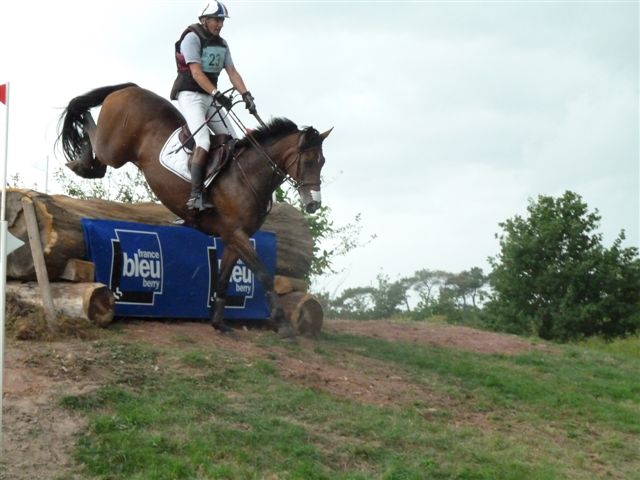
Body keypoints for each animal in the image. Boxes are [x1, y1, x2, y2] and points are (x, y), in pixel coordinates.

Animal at [57, 82, 332, 338]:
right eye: (309, 161)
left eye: (323, 163)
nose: (313, 204)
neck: (249, 175)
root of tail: (131, 88)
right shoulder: (237, 234)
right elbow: (264, 274)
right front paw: (283, 324)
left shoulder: (233, 237)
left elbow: (222, 279)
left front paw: (218, 322)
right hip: (114, 149)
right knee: (94, 137)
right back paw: (81, 153)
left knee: (98, 165)